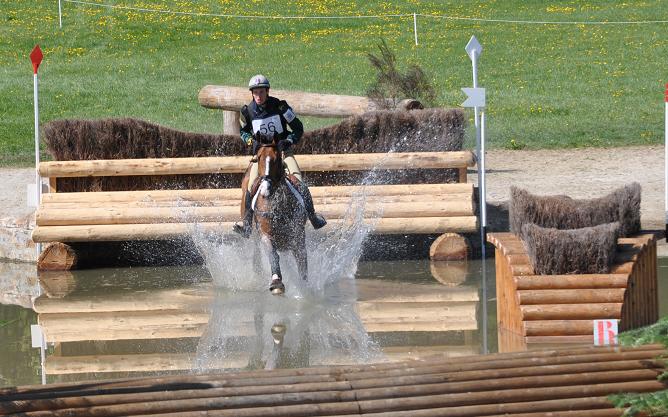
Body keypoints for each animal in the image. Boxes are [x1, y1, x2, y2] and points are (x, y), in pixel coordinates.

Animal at [241, 133, 310, 292]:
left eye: (277, 158)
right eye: (259, 158)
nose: (266, 190)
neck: (278, 206)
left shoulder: (298, 237)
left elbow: (302, 262)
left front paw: (304, 286)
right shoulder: (266, 235)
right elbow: (273, 255)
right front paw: (276, 282)